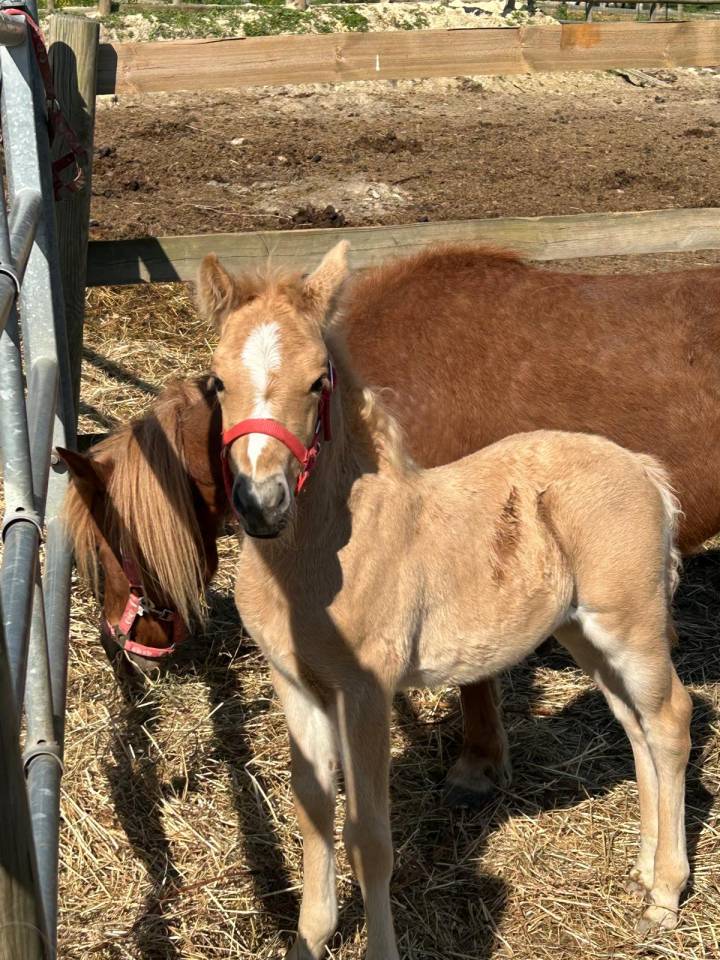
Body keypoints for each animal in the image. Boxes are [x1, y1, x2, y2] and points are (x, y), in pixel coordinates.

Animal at [203, 240, 692, 957]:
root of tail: (645, 470)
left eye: (318, 381)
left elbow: (369, 839)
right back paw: (644, 869)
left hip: (631, 624)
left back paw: (664, 896)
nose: (261, 504)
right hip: (584, 633)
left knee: (670, 720)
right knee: (635, 726)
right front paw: (309, 939)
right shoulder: (296, 683)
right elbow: (313, 810)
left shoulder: (366, 690)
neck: (318, 559)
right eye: (216, 382)